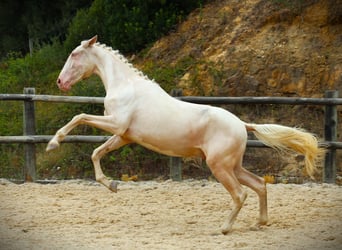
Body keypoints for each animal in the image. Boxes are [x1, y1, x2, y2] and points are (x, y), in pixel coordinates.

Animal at [46, 35, 324, 234]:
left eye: (74, 54)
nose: (60, 82)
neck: (125, 86)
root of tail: (242, 124)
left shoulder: (116, 124)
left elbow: (79, 117)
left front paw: (53, 143)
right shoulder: (124, 135)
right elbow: (96, 152)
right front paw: (112, 185)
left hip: (219, 166)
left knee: (240, 194)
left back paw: (224, 228)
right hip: (233, 166)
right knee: (259, 184)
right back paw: (259, 223)